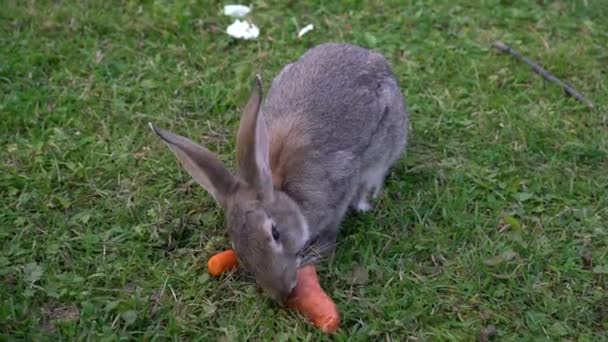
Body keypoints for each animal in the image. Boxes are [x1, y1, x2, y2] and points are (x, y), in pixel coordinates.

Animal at [150, 42, 410, 302]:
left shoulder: (341, 186)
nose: (282, 293)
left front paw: (321, 251)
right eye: (237, 246)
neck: (284, 190)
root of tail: (370, 55)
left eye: (275, 233)